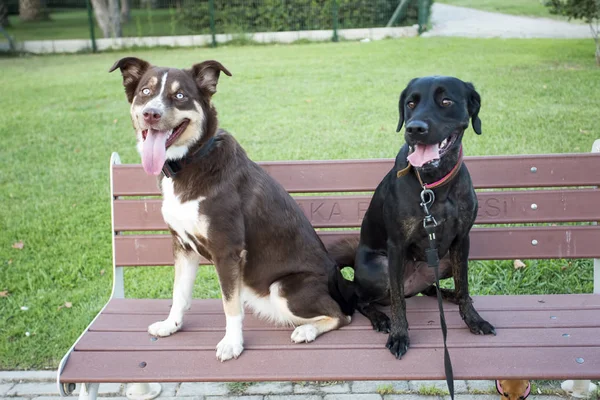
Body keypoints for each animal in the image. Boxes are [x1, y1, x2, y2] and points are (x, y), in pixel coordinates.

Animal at [109, 58, 354, 362]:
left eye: (180, 95)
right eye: (145, 91)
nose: (151, 114)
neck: (189, 162)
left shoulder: (227, 251)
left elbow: (230, 306)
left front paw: (232, 343)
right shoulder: (183, 246)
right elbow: (179, 294)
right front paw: (171, 325)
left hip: (283, 289)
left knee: (342, 316)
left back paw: (307, 330)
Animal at [330, 76, 494, 358]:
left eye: (446, 101)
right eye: (410, 103)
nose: (415, 128)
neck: (432, 185)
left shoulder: (462, 240)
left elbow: (464, 285)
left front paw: (473, 319)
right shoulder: (396, 245)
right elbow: (398, 303)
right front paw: (399, 335)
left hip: (444, 260)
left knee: (429, 289)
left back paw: (446, 293)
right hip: (380, 268)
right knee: (362, 298)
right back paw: (379, 317)